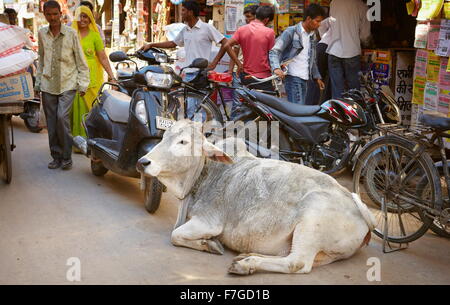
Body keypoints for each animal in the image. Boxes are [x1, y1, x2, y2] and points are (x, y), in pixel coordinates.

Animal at [137, 120, 376, 274]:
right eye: (164, 137)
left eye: (183, 142)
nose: (143, 162)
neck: (203, 174)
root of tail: (358, 206)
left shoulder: (209, 222)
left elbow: (175, 235)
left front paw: (210, 244)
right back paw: (247, 257)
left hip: (311, 220)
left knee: (298, 263)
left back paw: (245, 264)